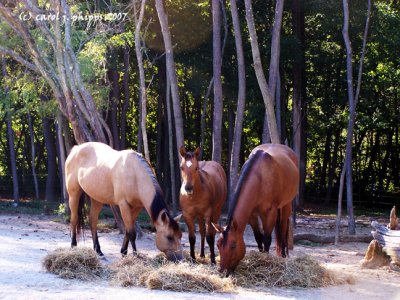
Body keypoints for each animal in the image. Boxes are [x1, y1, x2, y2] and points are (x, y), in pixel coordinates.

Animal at [214, 144, 298, 276]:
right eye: (218, 245)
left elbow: (267, 239)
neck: (260, 178)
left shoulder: (269, 214)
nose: (222, 272)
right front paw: (260, 254)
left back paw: (284, 255)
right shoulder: (252, 215)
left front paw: (266, 260)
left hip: (286, 205)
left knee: (283, 226)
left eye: (233, 246)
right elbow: (258, 237)